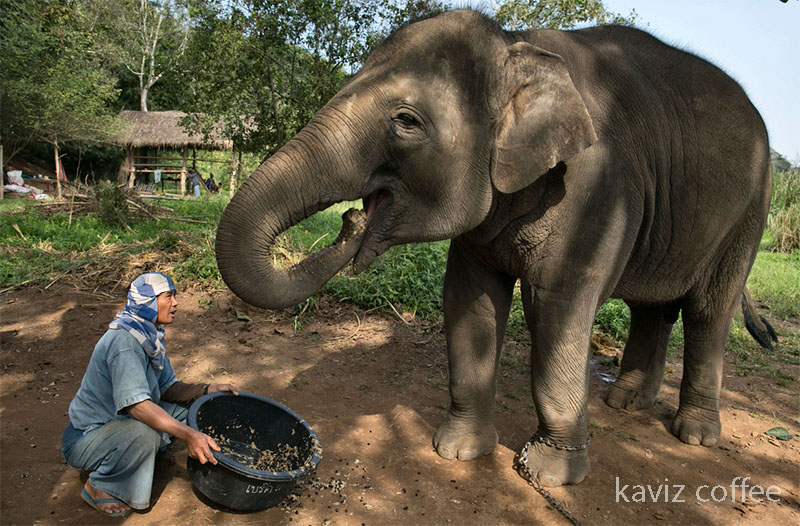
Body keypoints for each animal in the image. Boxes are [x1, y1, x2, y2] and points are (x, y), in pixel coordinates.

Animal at [214, 10, 776, 490]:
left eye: (406, 121)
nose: (351, 222)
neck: (516, 47)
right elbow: (470, 297)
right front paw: (457, 451)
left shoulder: (596, 188)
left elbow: (558, 305)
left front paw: (549, 475)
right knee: (652, 306)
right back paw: (625, 402)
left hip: (752, 207)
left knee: (708, 310)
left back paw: (694, 434)